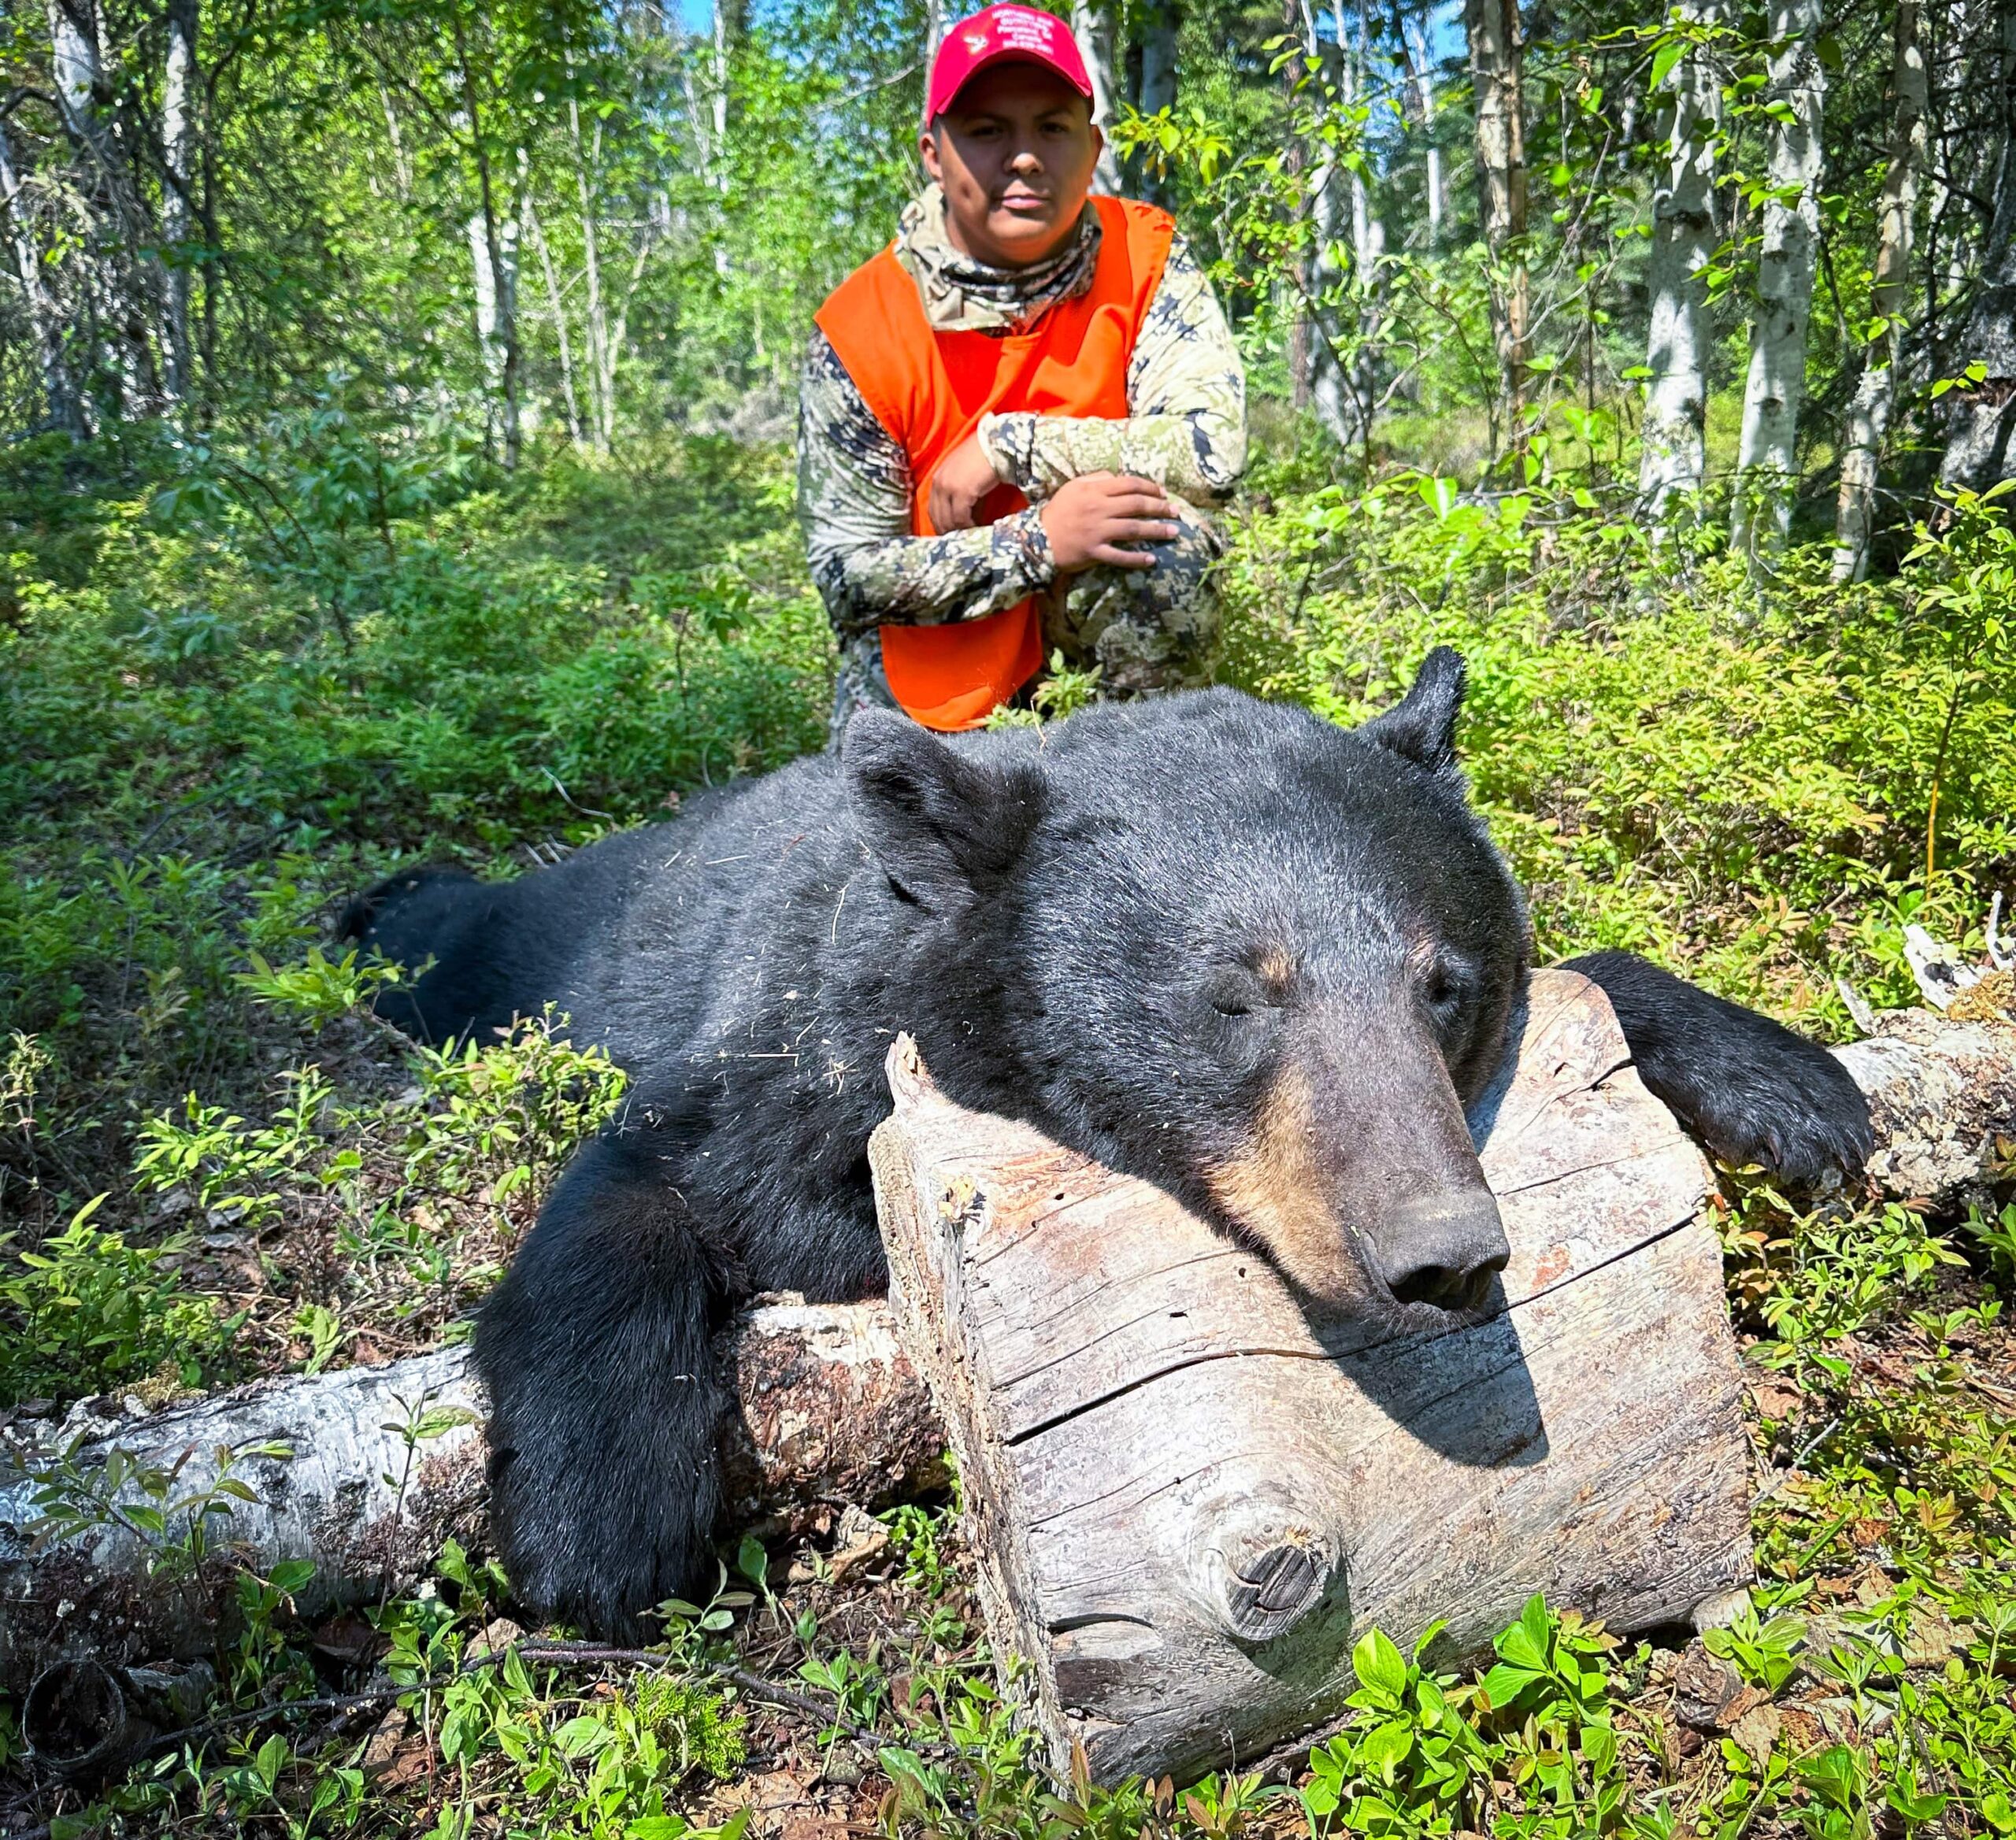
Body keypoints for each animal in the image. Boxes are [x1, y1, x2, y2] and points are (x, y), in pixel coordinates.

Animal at [346, 649, 1870, 1636]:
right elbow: (653, 1187)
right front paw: (595, 1522)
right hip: (537, 951)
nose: (1443, 1256)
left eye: (1443, 984)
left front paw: (1792, 1082)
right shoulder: (792, 1066)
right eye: (1236, 994)